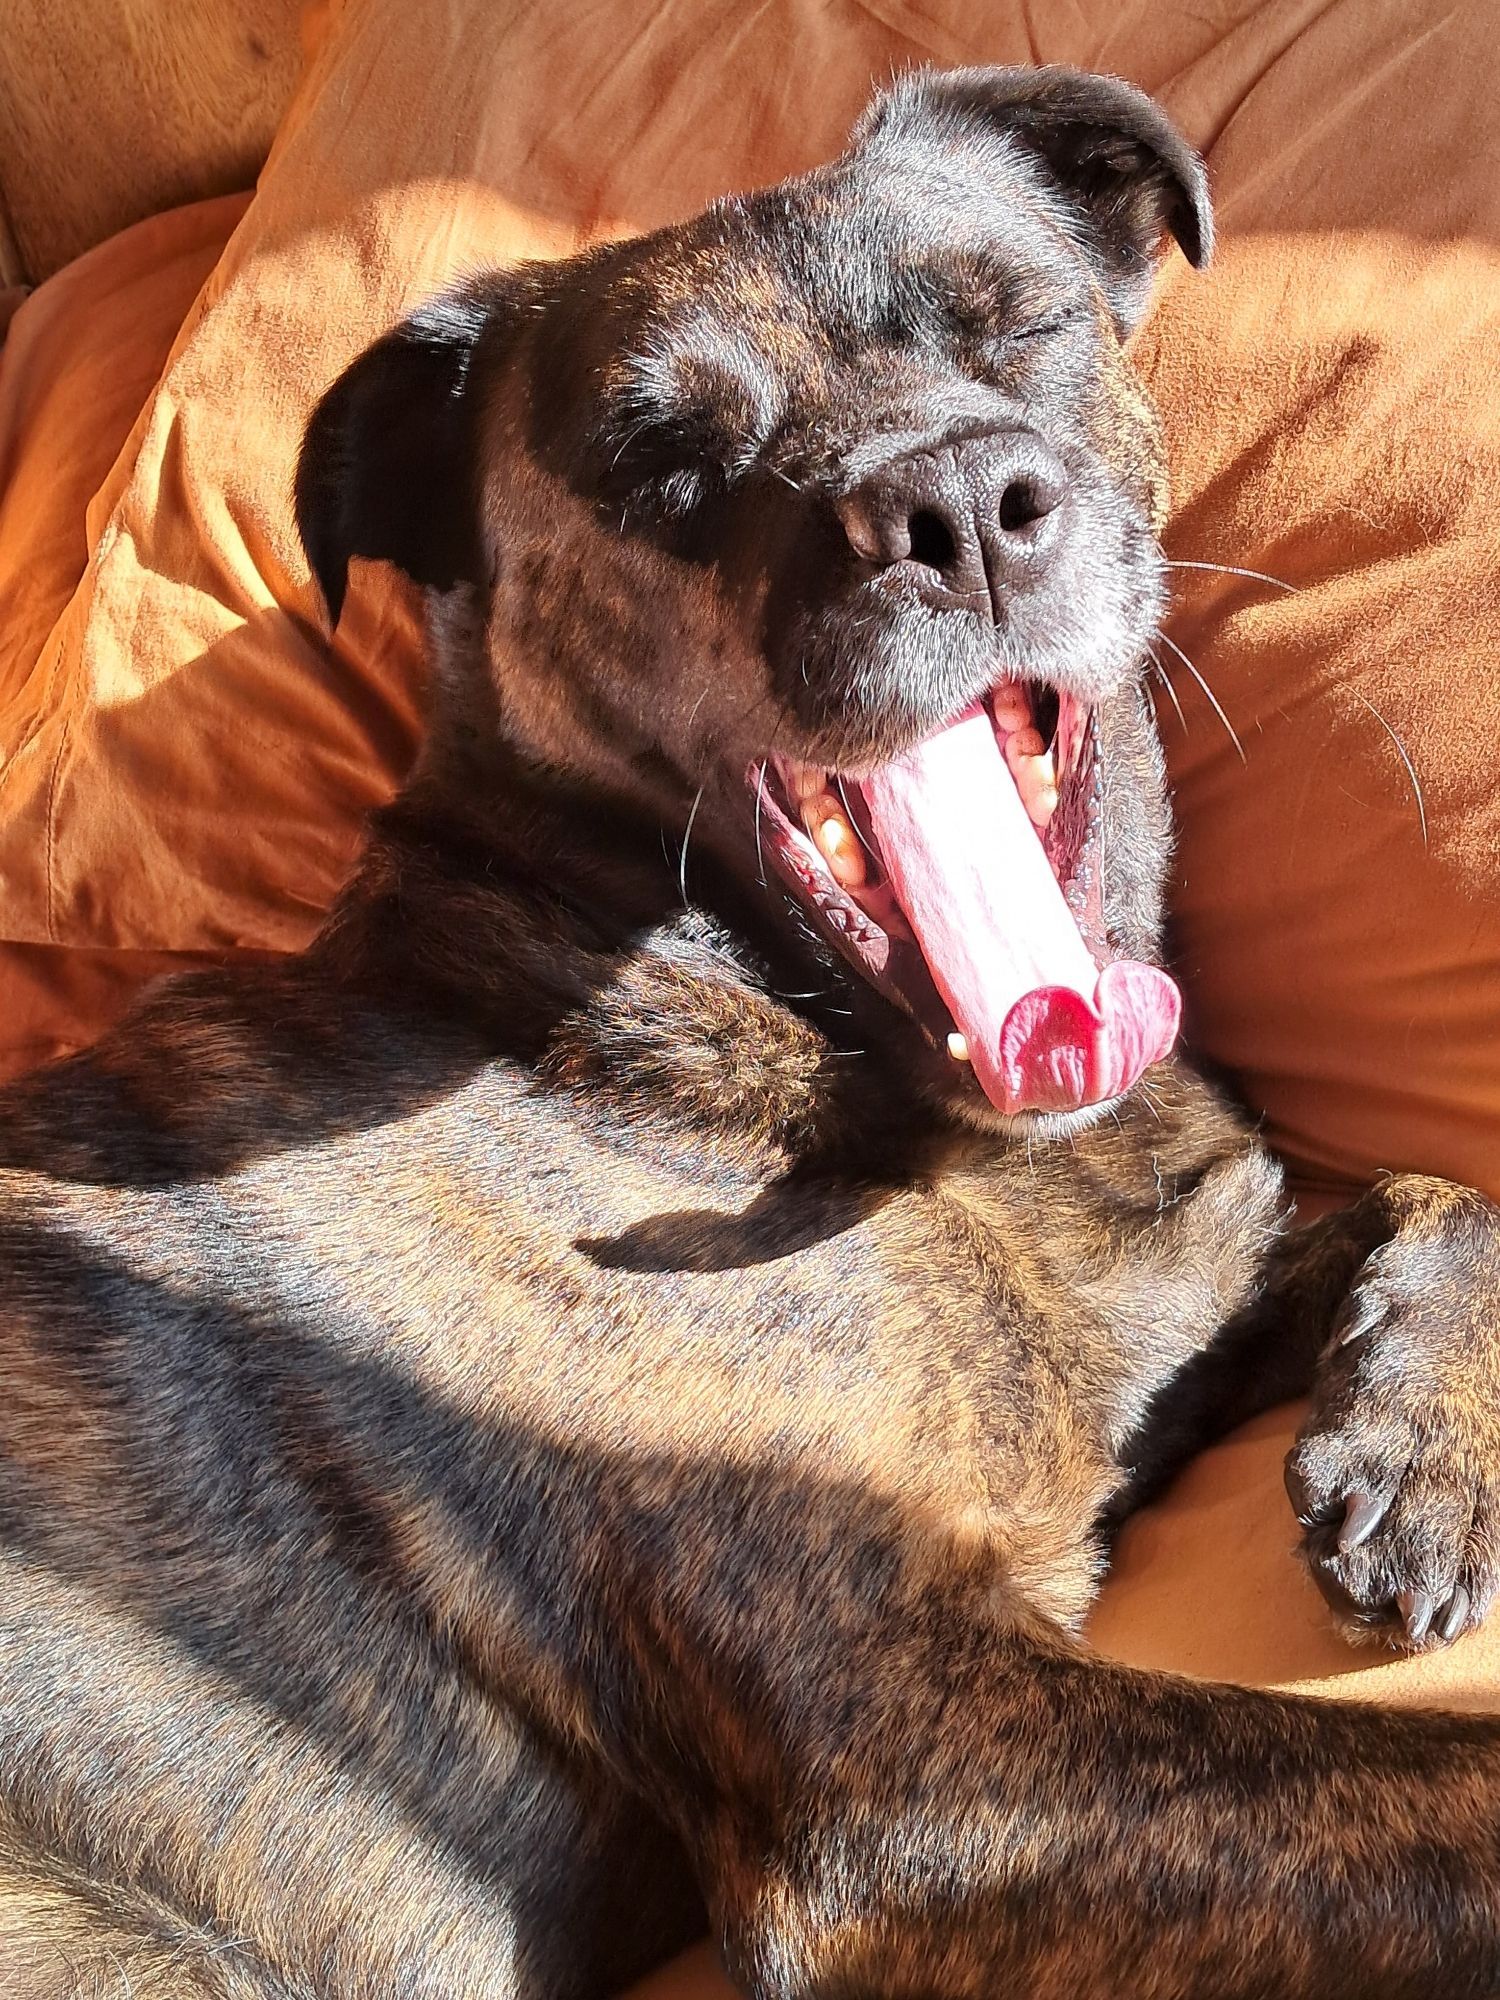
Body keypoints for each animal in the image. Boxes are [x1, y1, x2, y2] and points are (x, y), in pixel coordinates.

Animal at [2, 62, 1500, 2000]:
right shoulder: (913, 1752)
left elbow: (1432, 1186)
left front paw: (1420, 1444)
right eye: (663, 465)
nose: (958, 505)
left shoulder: (1157, 1328)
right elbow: (1455, 1795)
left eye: (1017, 327)